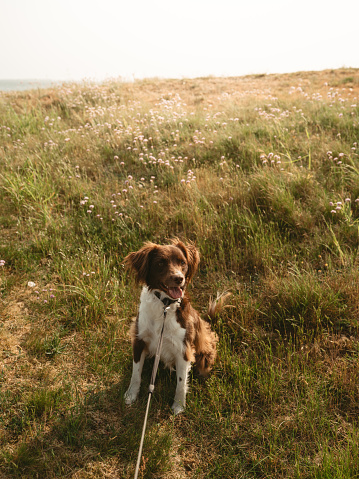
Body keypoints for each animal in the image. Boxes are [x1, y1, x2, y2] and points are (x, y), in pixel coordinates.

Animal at [124, 240, 225, 416]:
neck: (165, 305)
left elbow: (181, 382)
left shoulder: (183, 349)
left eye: (182, 263)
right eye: (160, 263)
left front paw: (178, 406)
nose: (179, 278)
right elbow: (135, 373)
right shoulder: (139, 339)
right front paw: (131, 396)